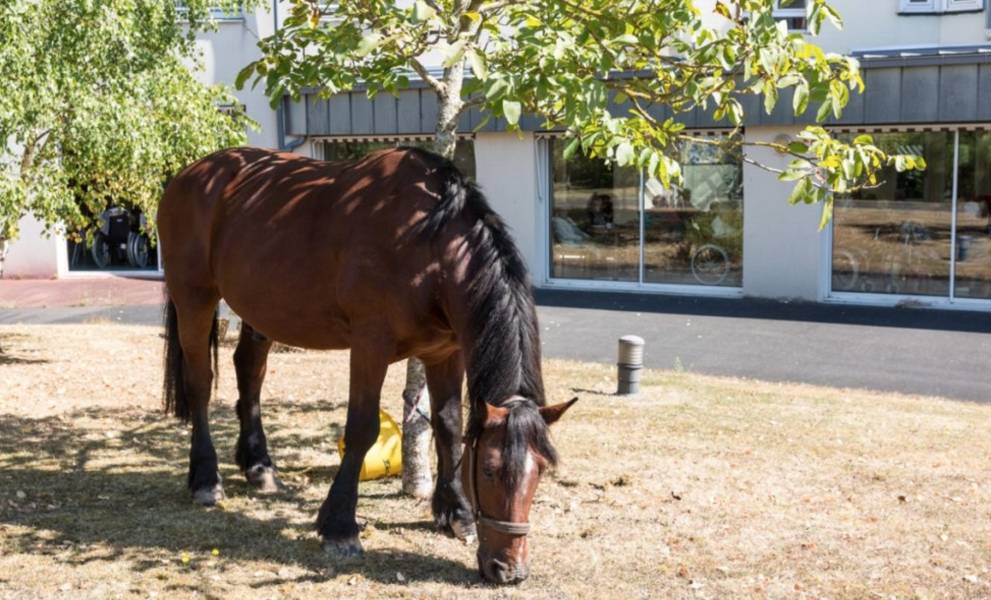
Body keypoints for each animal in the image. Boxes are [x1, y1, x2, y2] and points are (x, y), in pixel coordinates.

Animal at [158, 148, 576, 584]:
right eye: (491, 470)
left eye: (541, 470)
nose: (508, 570)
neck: (428, 247)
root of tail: (189, 174)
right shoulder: (369, 346)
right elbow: (362, 428)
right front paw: (340, 525)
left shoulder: (446, 352)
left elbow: (448, 425)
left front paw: (456, 512)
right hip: (194, 297)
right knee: (200, 383)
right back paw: (206, 479)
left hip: (259, 308)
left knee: (249, 373)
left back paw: (259, 466)